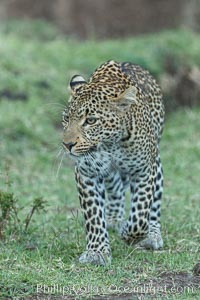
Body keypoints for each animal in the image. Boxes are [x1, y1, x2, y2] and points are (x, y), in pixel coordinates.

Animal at [62, 60, 164, 264]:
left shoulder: (143, 170)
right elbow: (93, 214)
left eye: (91, 120)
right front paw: (96, 252)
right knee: (116, 189)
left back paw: (152, 234)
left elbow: (140, 214)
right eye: (66, 118)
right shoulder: (87, 173)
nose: (67, 144)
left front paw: (129, 234)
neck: (110, 144)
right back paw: (114, 219)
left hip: (155, 162)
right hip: (110, 174)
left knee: (155, 200)